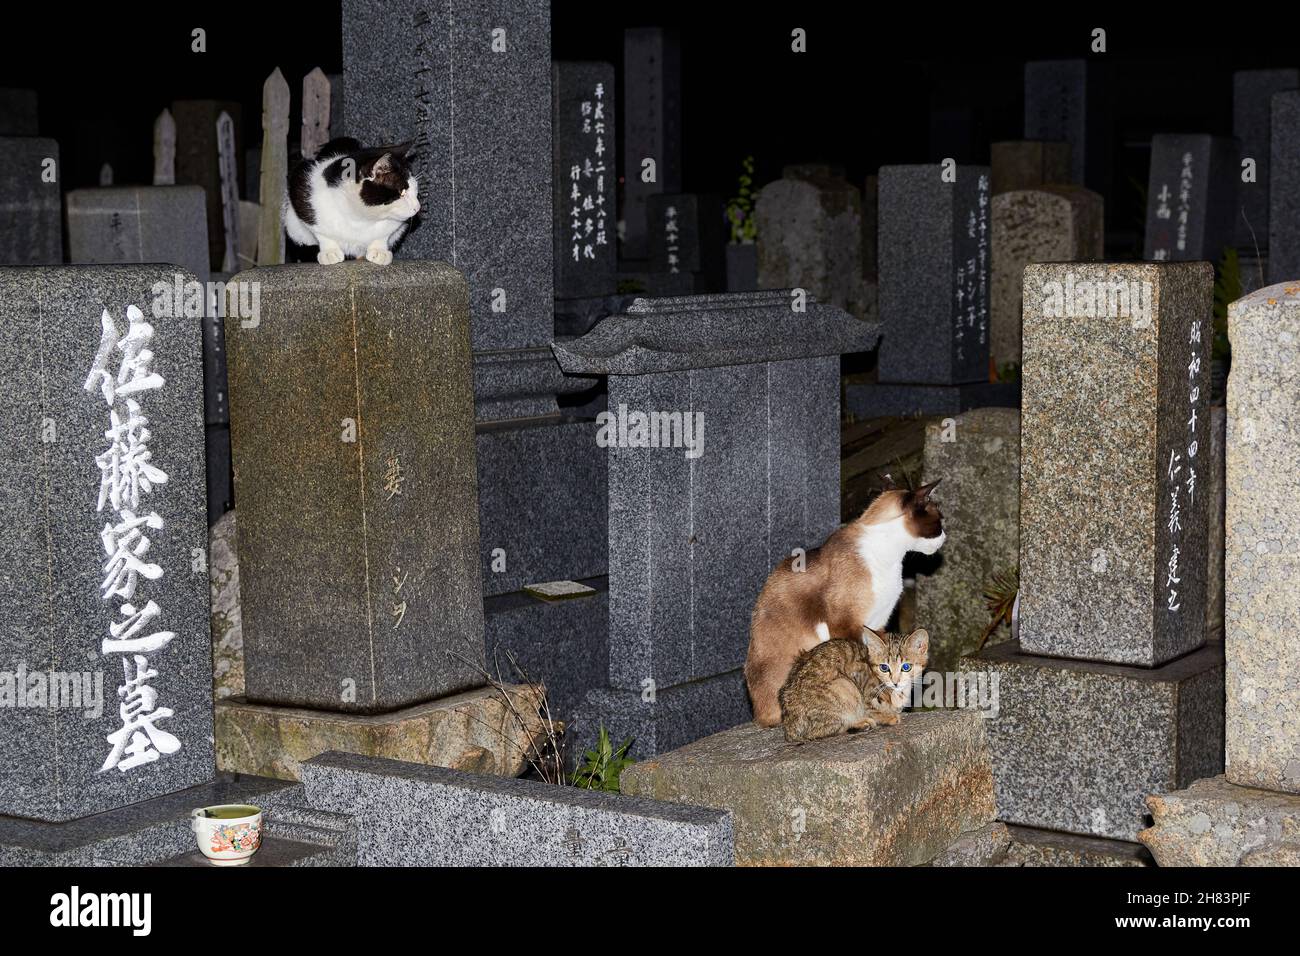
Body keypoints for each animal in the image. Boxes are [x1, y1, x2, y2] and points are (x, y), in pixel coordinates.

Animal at [284, 138, 421, 265]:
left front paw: (379, 250)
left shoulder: (396, 225)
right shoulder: (301, 185)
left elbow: (384, 234)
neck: (359, 219)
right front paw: (329, 251)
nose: (418, 207)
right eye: (402, 192)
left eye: (416, 190)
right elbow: (321, 232)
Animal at [743, 481, 946, 728]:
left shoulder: (878, 624)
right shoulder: (846, 624)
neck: (891, 556)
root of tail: (756, 715)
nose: (944, 537)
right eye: (939, 521)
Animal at [774, 629, 930, 749]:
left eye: (906, 667)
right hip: (844, 685)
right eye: (884, 667)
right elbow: (872, 707)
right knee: (819, 732)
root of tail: (790, 728)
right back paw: (861, 723)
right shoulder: (862, 682)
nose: (895, 682)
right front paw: (888, 717)